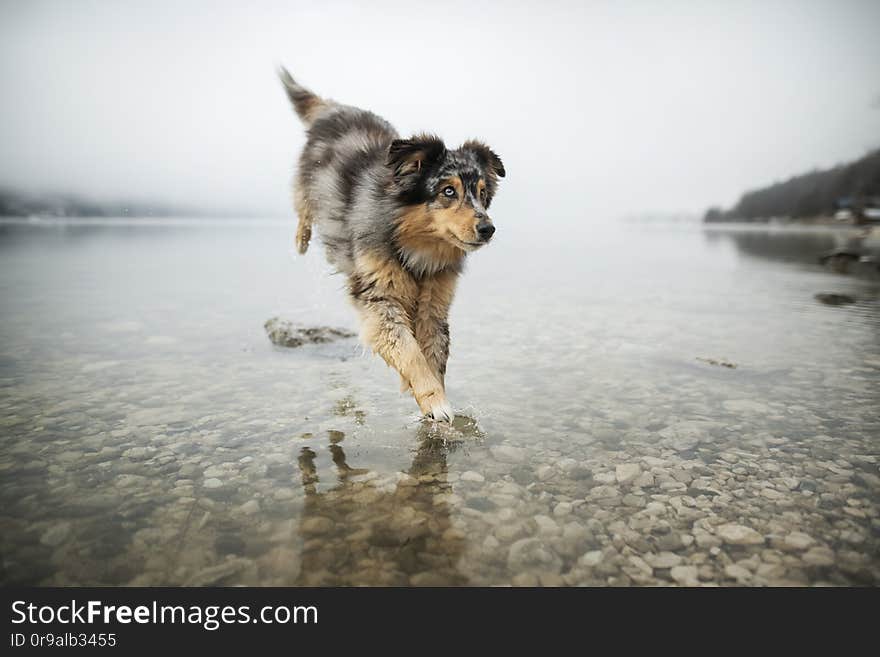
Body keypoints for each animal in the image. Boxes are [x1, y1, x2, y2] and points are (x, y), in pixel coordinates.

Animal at [278, 68, 506, 426]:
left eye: (482, 193)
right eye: (448, 191)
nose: (488, 229)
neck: (414, 246)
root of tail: (334, 108)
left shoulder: (434, 304)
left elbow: (433, 353)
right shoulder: (378, 298)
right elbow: (410, 353)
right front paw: (436, 403)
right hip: (309, 179)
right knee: (302, 203)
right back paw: (301, 239)